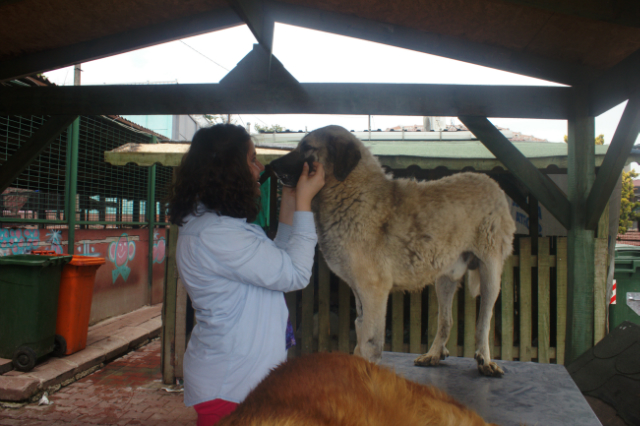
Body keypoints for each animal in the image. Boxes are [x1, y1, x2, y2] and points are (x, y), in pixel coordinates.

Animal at [268, 125, 516, 376]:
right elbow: (360, 330)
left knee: (484, 321)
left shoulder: (374, 289)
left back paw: (485, 360)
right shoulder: (360, 290)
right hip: (445, 279)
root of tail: (492, 183)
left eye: (307, 148)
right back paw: (434, 354)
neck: (351, 192)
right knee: (446, 321)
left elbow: (369, 341)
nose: (273, 166)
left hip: (490, 274)